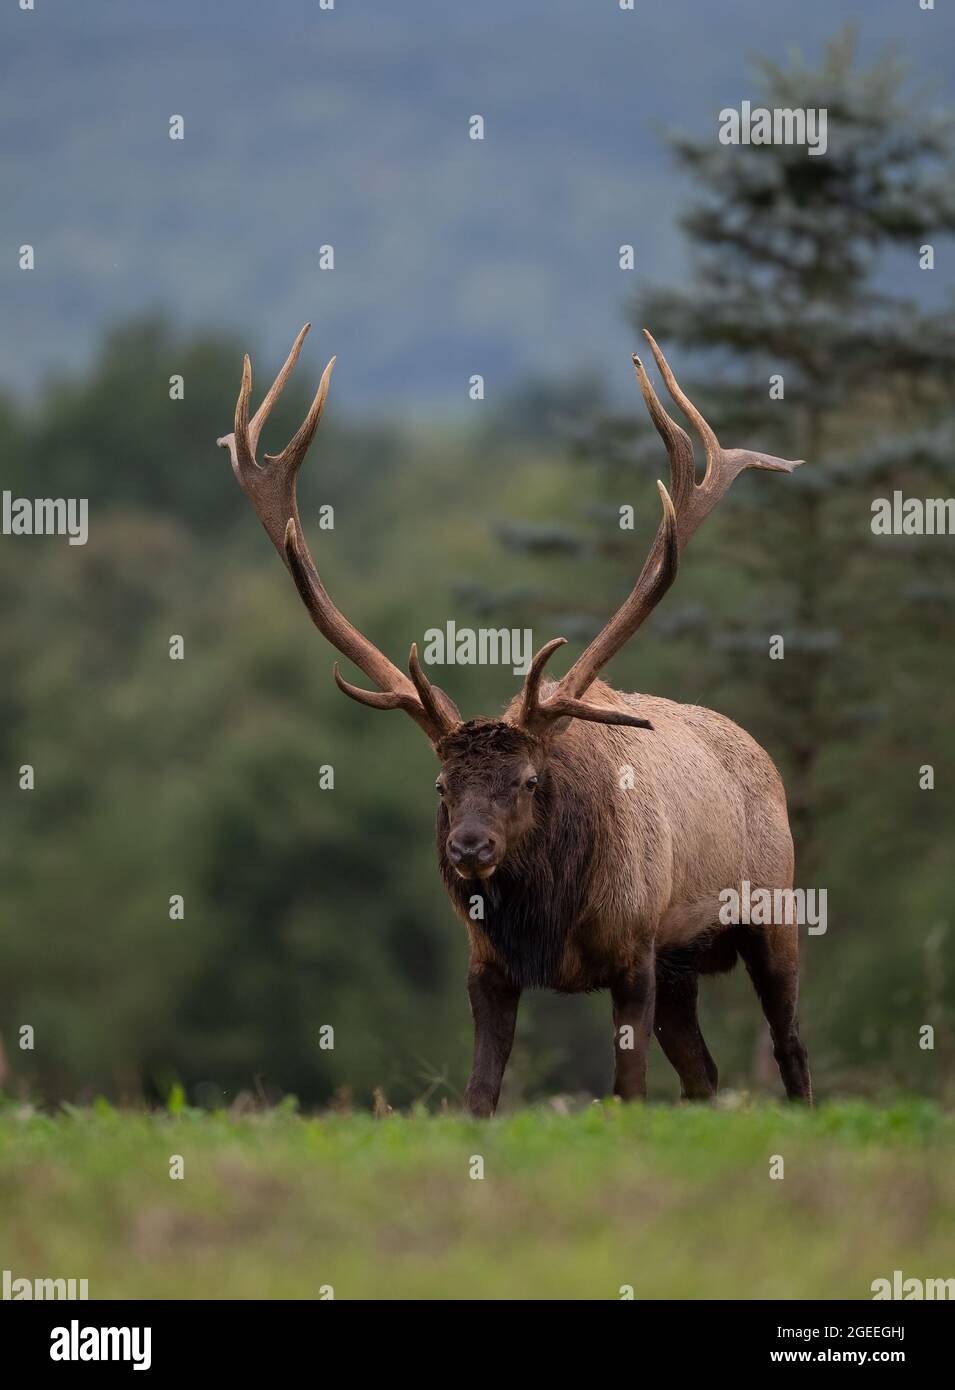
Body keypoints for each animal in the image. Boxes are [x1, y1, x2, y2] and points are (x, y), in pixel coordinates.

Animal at [217, 325, 812, 1115]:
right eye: (441, 785)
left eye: (529, 779)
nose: (469, 847)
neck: (548, 928)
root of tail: (758, 752)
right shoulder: (488, 966)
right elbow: (478, 1093)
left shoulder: (635, 952)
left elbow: (625, 1091)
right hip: (684, 961)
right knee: (704, 1073)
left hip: (772, 911)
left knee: (790, 1046)